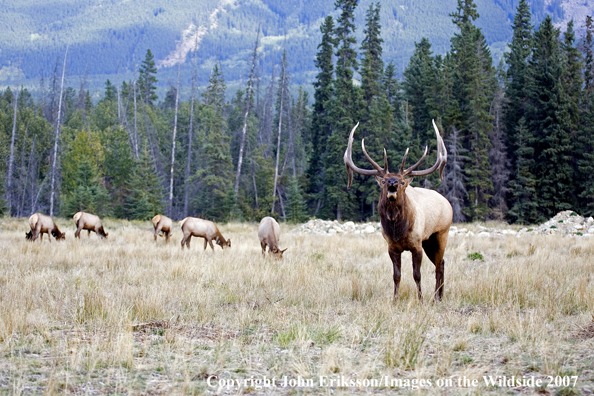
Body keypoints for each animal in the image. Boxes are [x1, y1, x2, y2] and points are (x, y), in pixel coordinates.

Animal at [342, 119, 448, 302]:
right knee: (440, 263)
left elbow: (417, 275)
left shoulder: (416, 245)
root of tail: (448, 203)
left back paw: (436, 297)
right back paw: (439, 296)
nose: (392, 182)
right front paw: (395, 299)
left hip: (441, 233)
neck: (398, 230)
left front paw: (420, 299)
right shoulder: (392, 247)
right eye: (384, 181)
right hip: (429, 241)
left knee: (439, 264)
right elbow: (396, 275)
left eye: (402, 181)